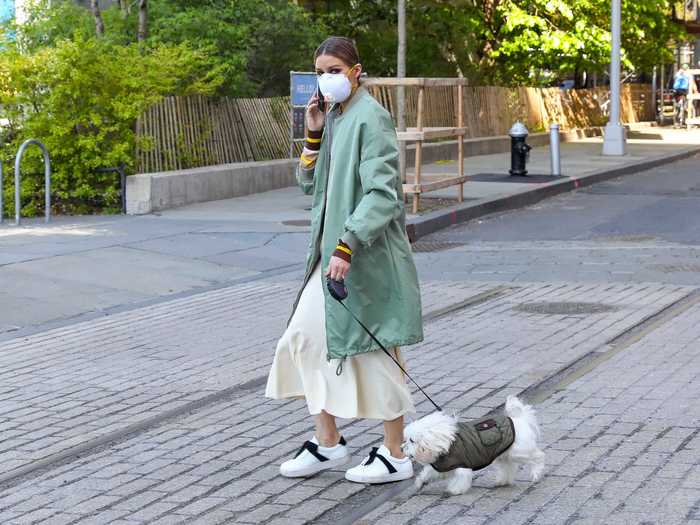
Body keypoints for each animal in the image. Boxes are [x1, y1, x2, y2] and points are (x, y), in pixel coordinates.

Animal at [402, 396, 544, 494]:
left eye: (412, 440)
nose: (401, 448)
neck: (446, 442)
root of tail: (521, 420)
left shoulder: (461, 466)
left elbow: (461, 478)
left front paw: (454, 490)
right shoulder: (444, 466)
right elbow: (428, 473)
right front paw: (420, 482)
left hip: (519, 452)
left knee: (538, 457)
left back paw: (536, 473)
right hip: (504, 453)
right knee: (508, 467)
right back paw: (503, 481)